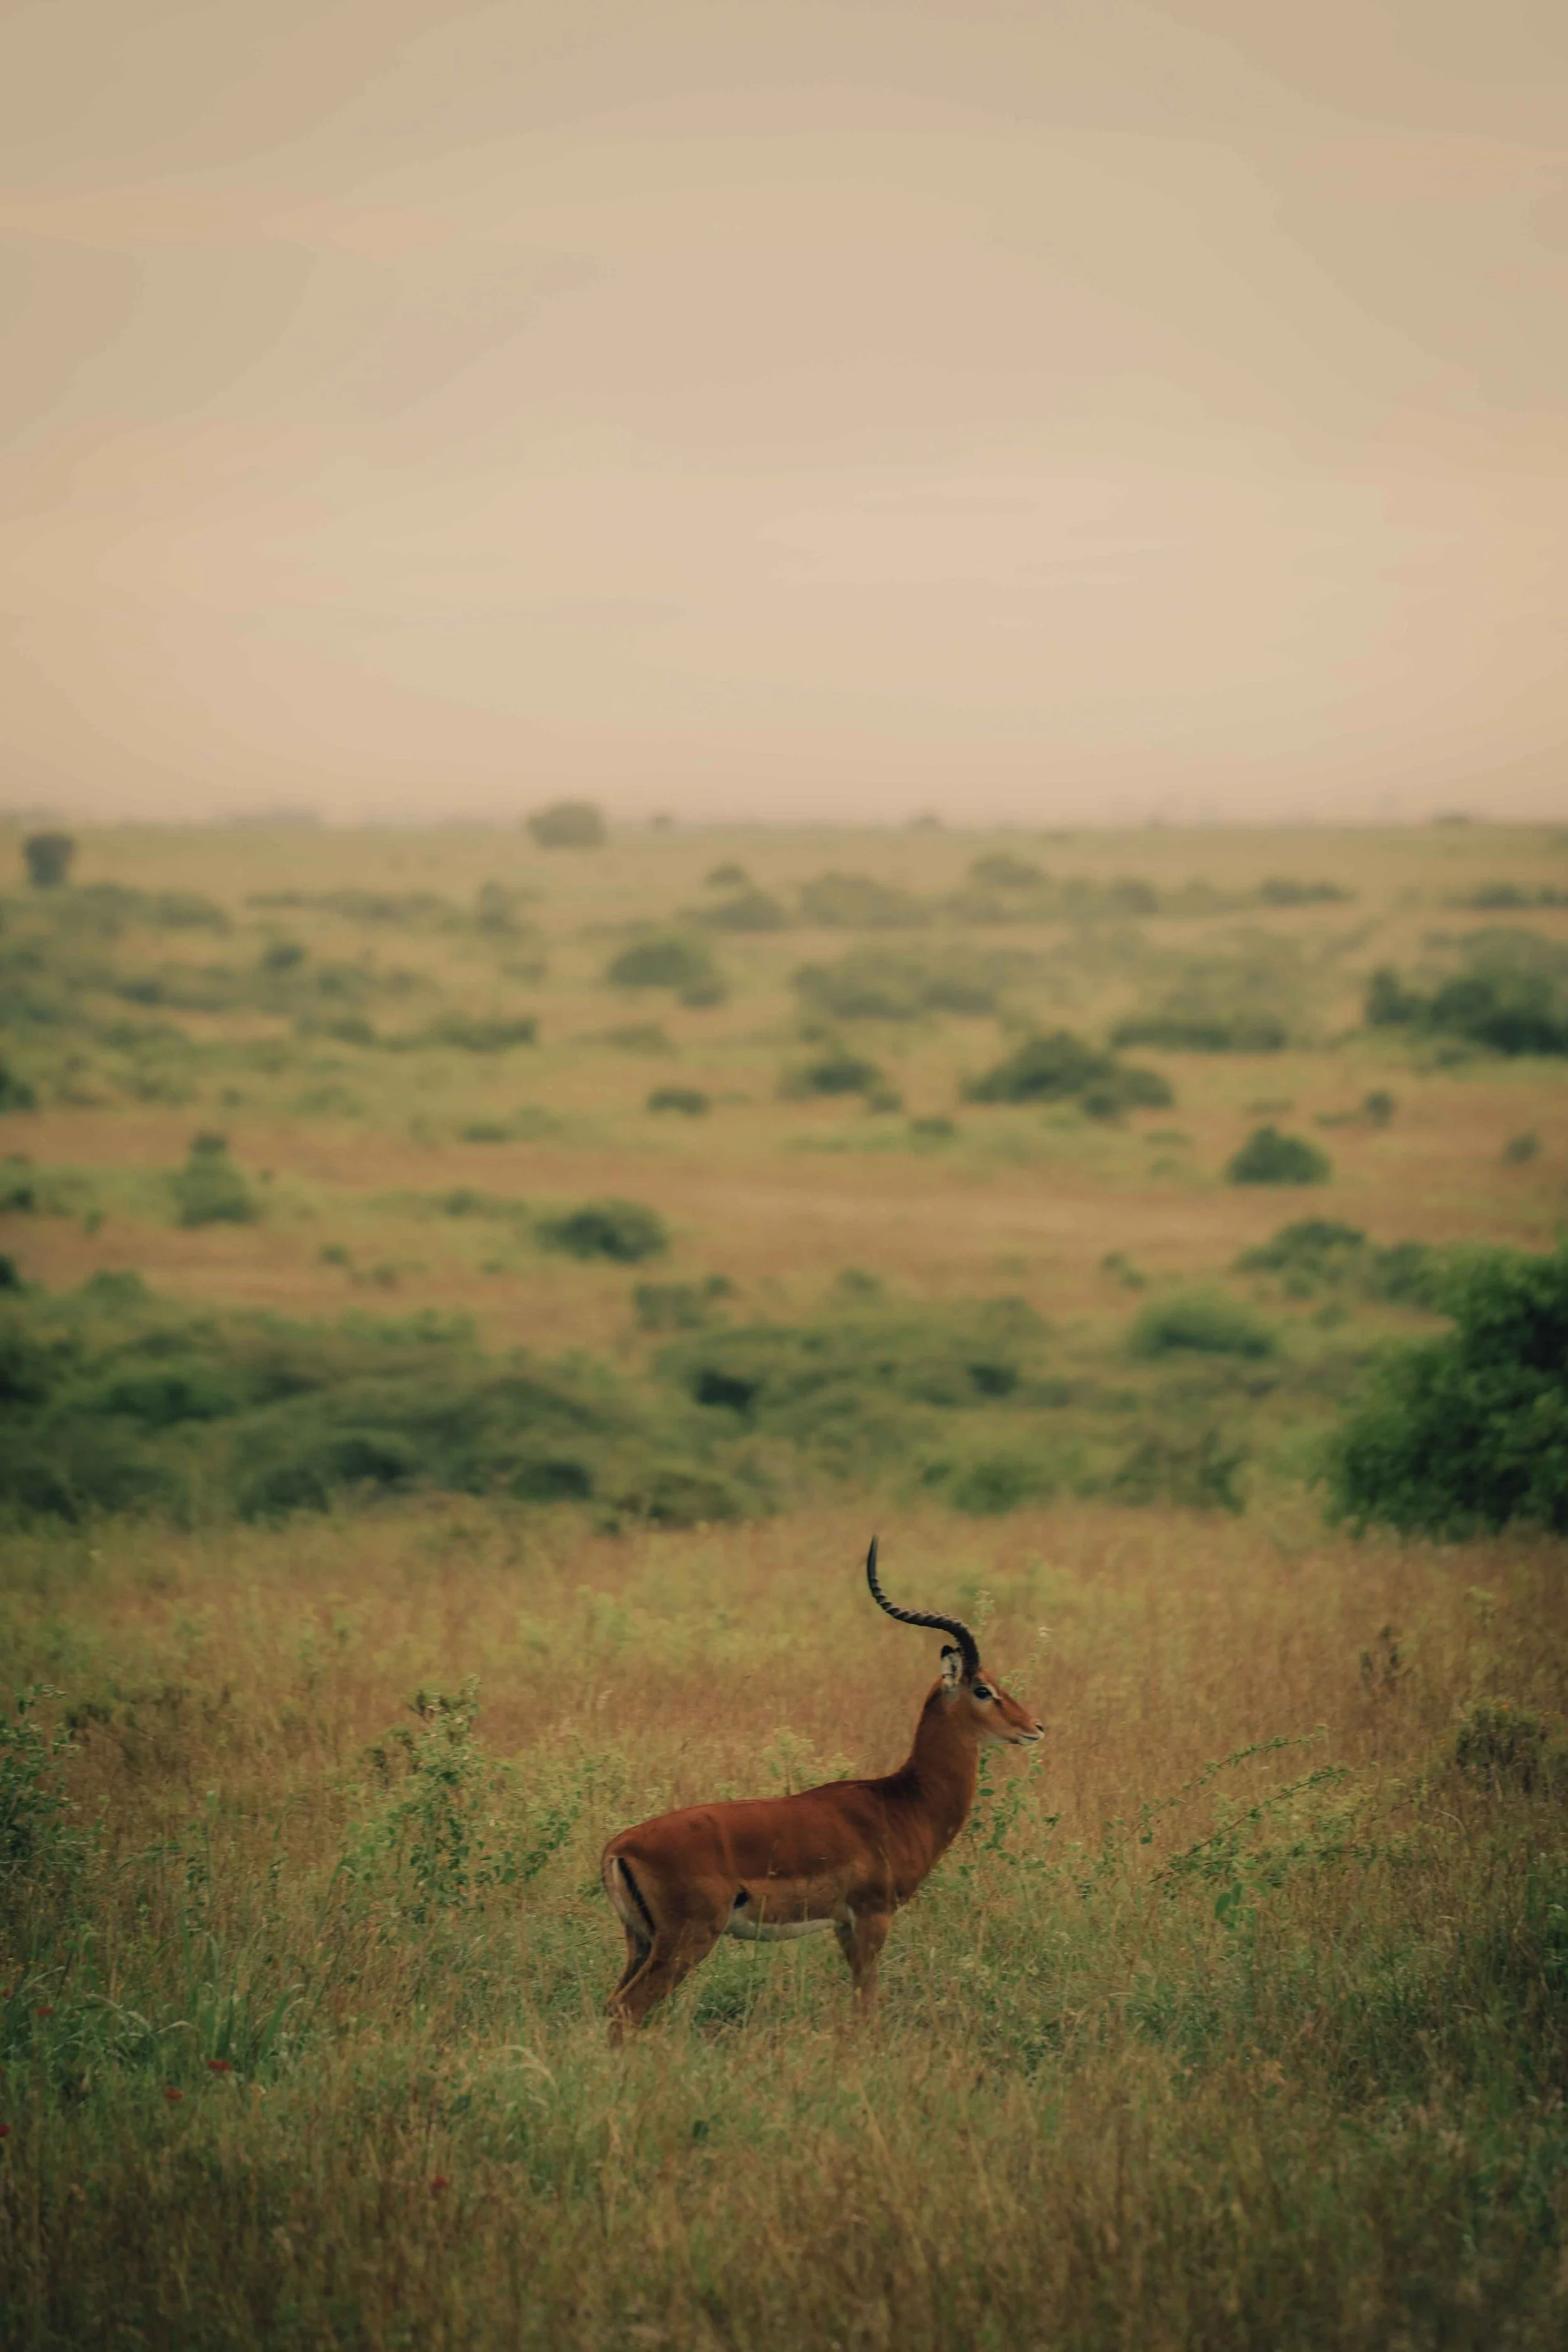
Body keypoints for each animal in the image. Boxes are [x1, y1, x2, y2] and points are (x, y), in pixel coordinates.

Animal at [600, 1538, 1042, 2036]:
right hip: (686, 1940)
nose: (1035, 1727)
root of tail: (618, 1848)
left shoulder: (843, 1925)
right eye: (984, 1690)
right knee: (628, 2007)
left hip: (641, 1942)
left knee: (612, 2003)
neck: (902, 1803)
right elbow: (867, 2002)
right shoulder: (872, 1916)